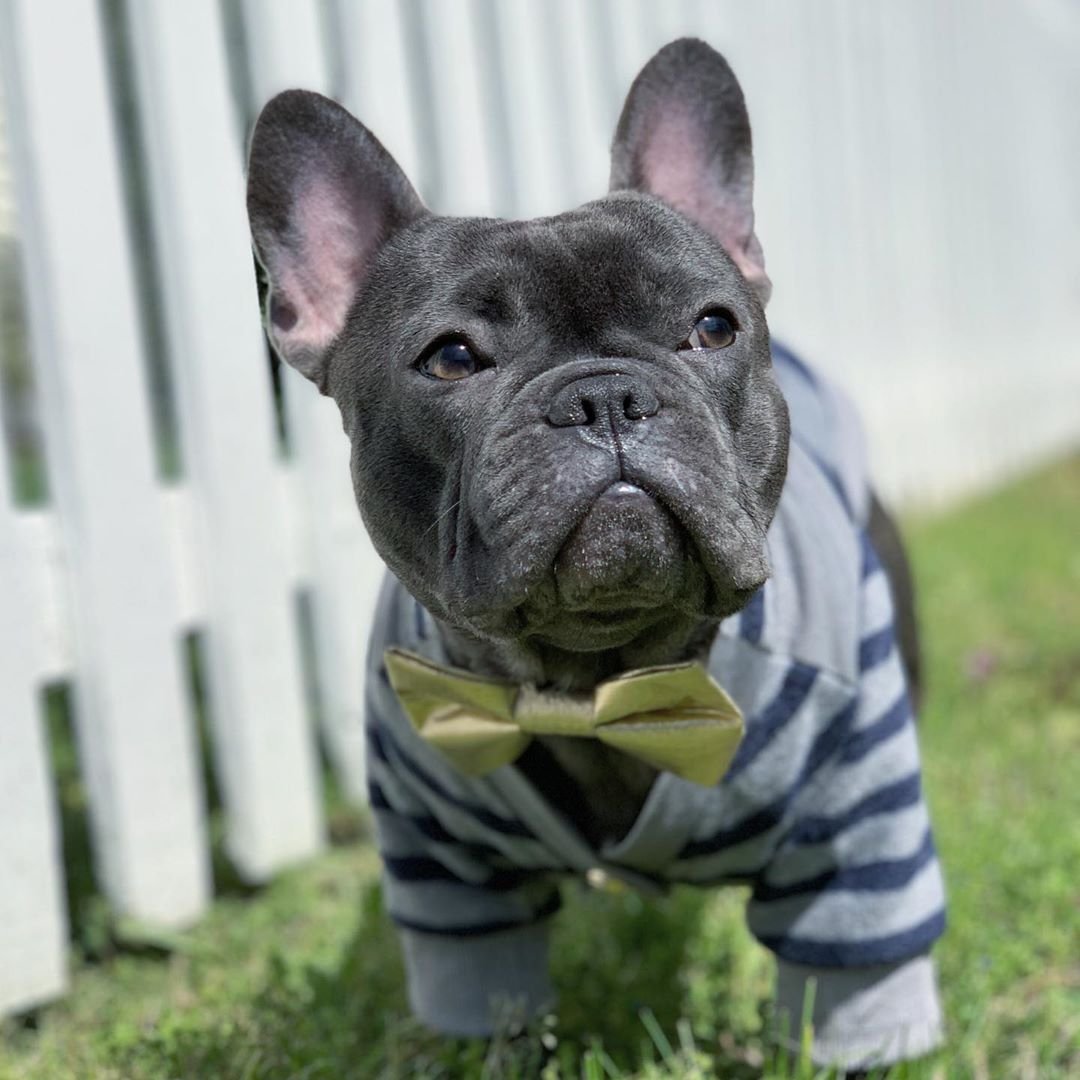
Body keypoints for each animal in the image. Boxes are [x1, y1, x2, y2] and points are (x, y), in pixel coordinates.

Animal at [245, 35, 946, 1071]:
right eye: (450, 358)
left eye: (713, 326)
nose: (605, 396)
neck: (597, 684)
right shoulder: (444, 870)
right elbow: (488, 1002)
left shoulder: (860, 836)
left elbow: (853, 981)